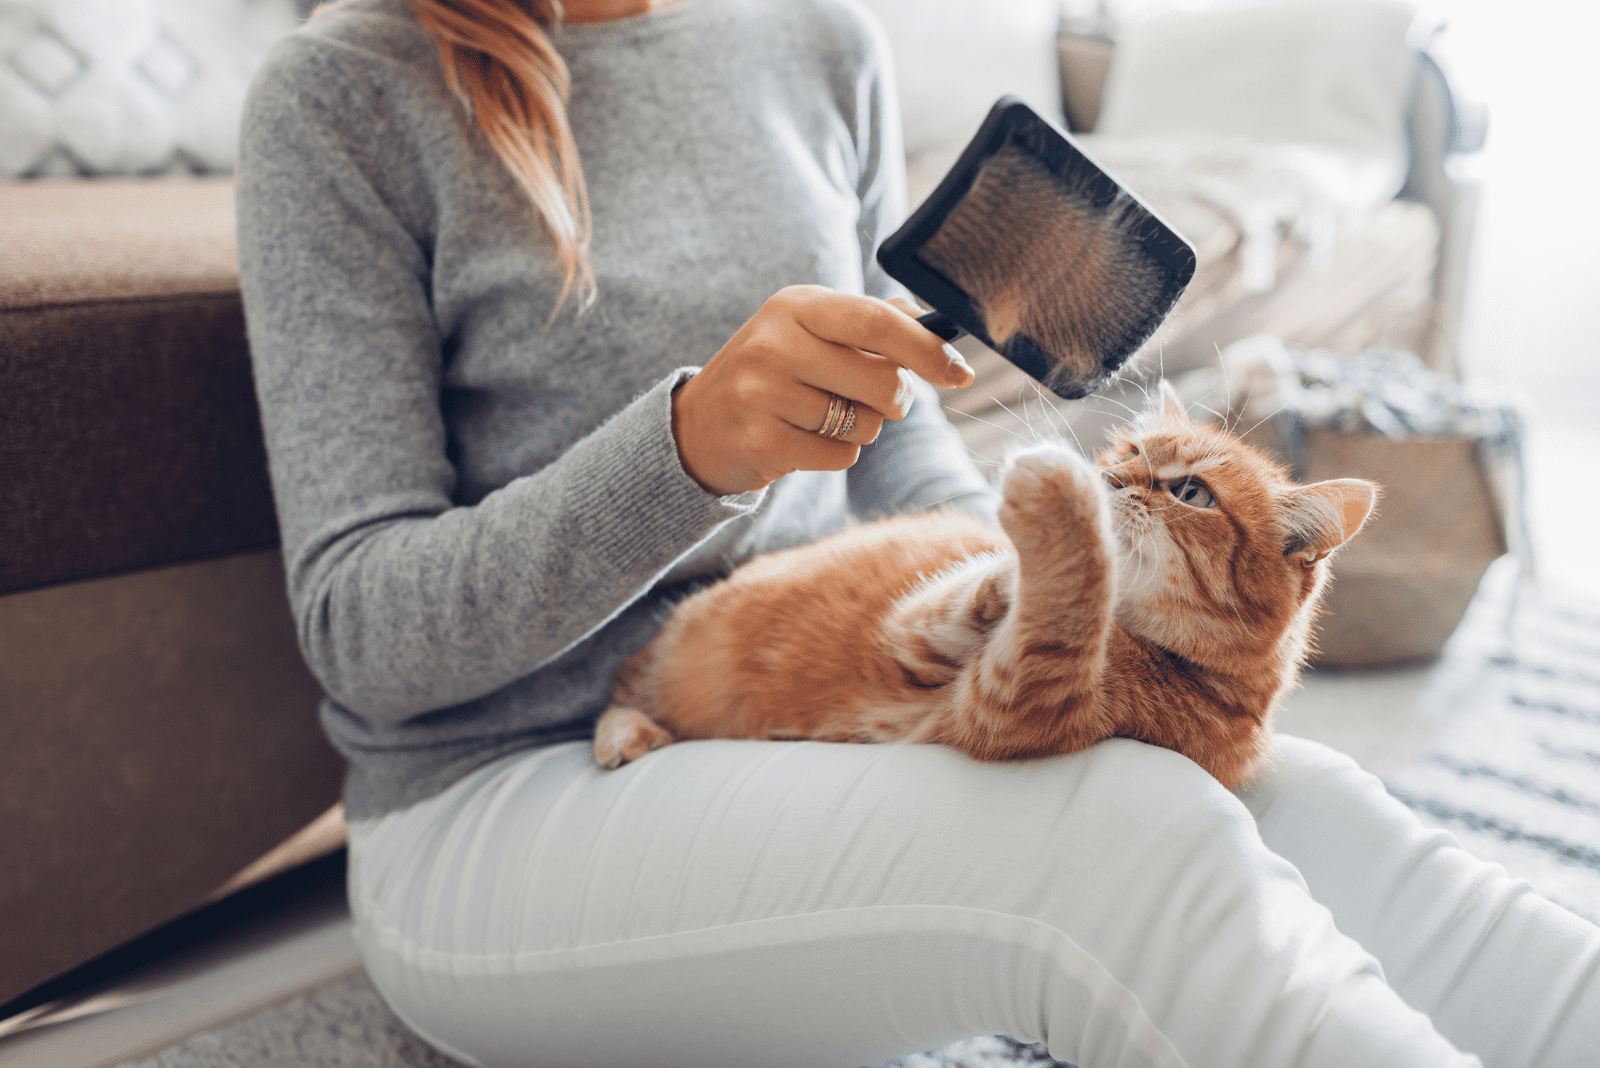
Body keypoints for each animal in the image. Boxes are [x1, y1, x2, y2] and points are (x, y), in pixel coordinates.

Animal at [595, 378, 1382, 789]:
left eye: (1192, 492)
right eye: (1127, 452)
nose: (1109, 478)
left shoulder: (1008, 705)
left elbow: (1065, 607)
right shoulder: (918, 629)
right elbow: (985, 585)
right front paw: (1017, 554)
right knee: (623, 687)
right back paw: (627, 732)